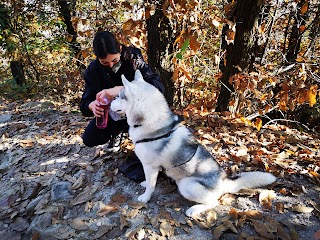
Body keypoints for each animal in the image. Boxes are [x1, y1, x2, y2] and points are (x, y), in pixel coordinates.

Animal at [110, 70, 276, 218]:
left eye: (118, 96)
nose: (109, 102)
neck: (153, 124)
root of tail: (223, 181)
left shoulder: (150, 166)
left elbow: (151, 186)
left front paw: (145, 198)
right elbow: (151, 182)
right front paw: (145, 184)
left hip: (186, 185)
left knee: (213, 202)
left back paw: (194, 209)